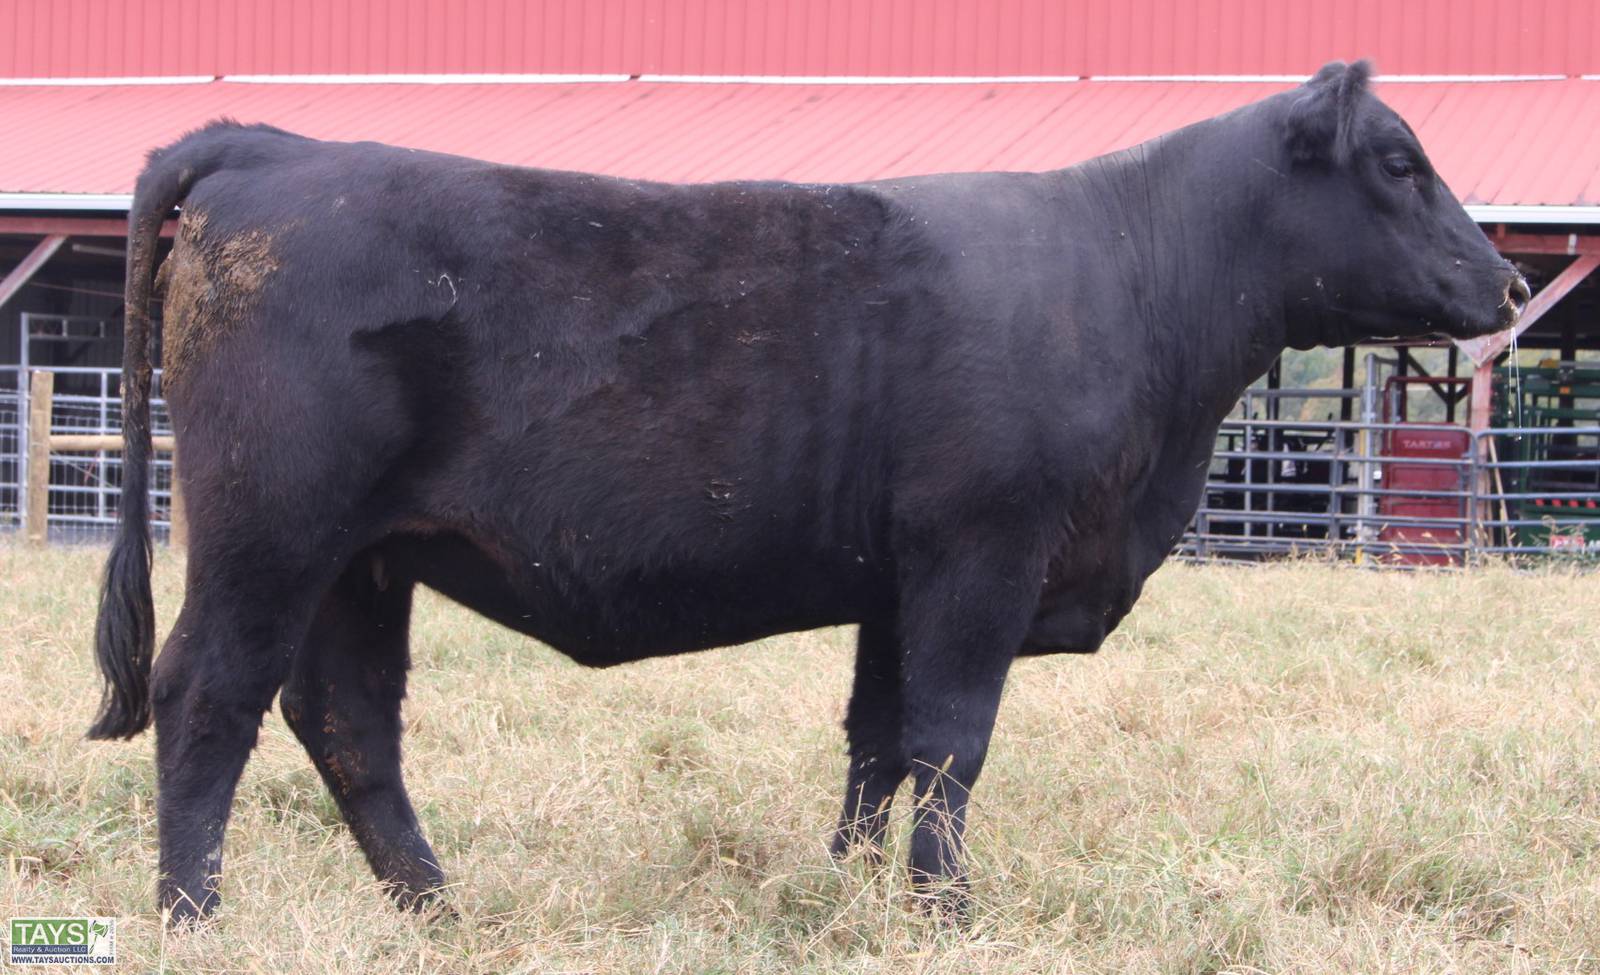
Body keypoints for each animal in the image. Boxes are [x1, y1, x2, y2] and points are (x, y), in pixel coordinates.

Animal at [89, 60, 1526, 924]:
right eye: (1398, 163)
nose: (1510, 282)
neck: (1127, 277)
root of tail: (270, 146)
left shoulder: (896, 580)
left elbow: (875, 741)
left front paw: (849, 894)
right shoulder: (979, 553)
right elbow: (950, 738)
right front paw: (947, 912)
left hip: (364, 557)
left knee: (348, 720)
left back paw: (437, 911)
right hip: (270, 528)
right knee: (209, 693)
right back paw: (194, 913)